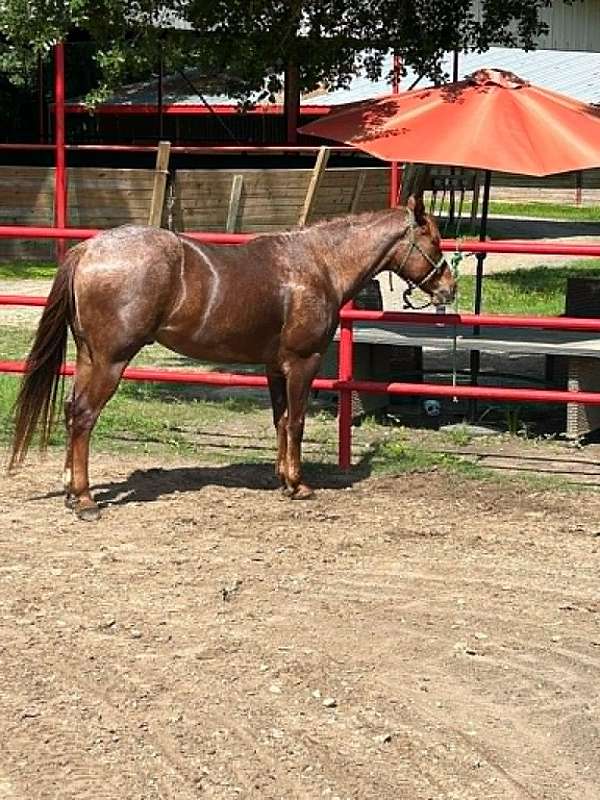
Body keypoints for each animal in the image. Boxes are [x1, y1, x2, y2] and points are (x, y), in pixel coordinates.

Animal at [9, 195, 455, 521]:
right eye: (434, 240)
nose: (449, 289)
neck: (318, 264)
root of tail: (88, 249)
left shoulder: (275, 367)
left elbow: (280, 422)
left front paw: (283, 480)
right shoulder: (303, 362)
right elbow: (297, 422)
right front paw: (299, 485)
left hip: (89, 357)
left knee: (72, 413)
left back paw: (72, 492)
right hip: (110, 361)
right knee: (85, 416)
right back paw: (85, 501)